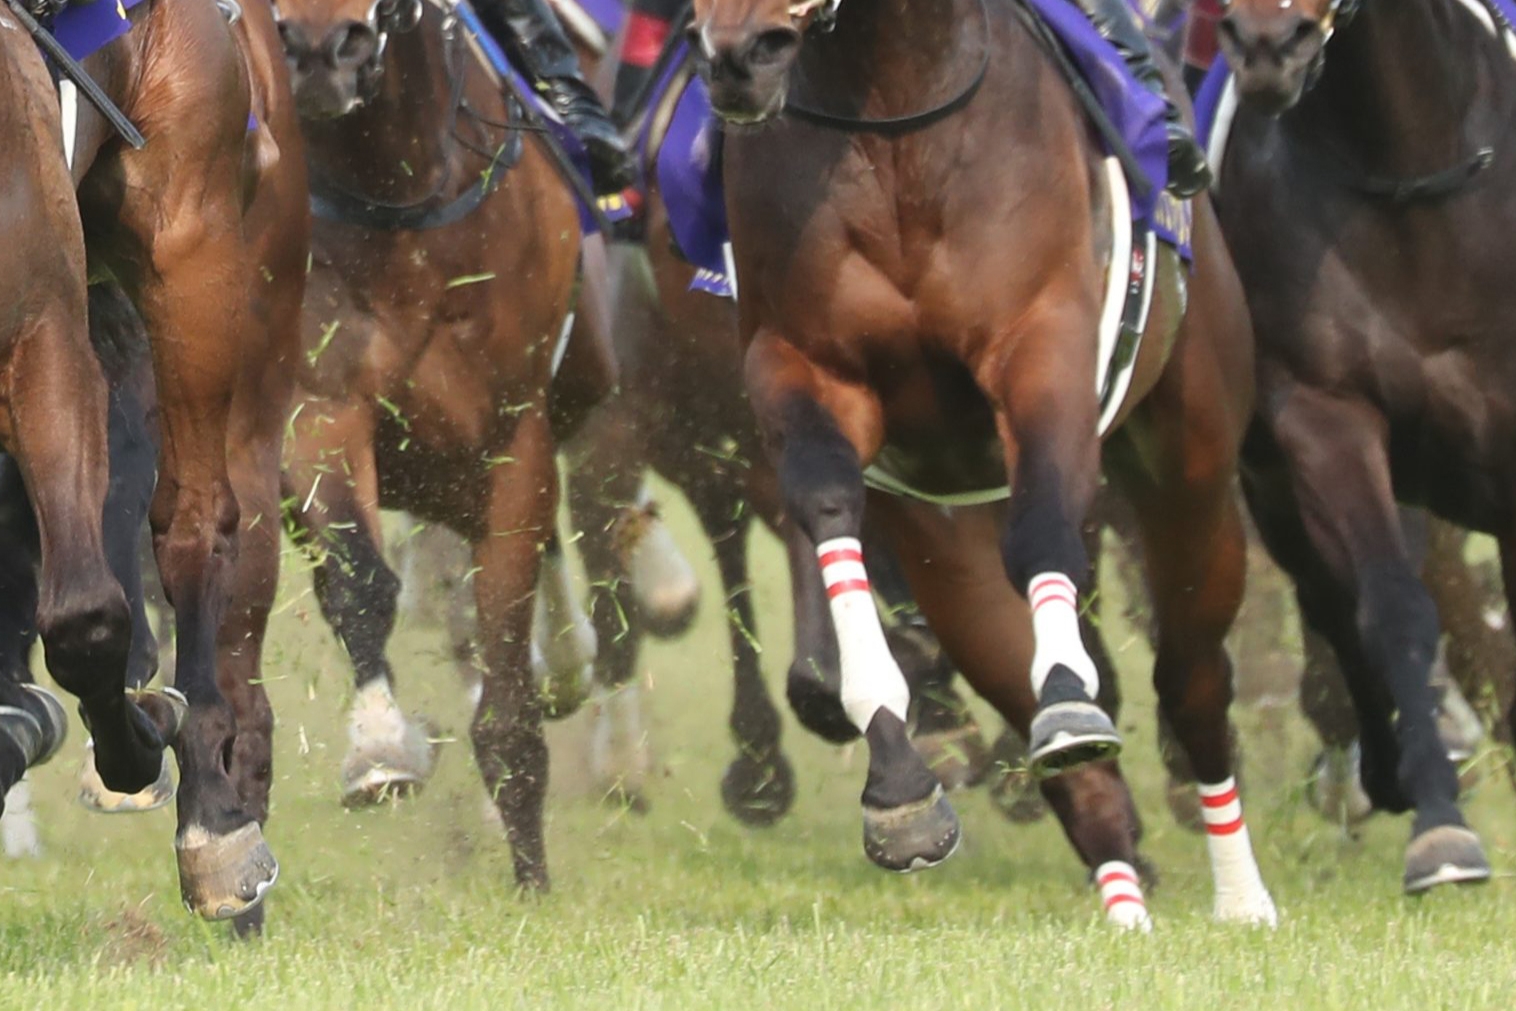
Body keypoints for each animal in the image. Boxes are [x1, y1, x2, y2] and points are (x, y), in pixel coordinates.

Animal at [0, 1, 310, 933]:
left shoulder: (42, 330)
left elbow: (86, 617)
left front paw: (145, 740)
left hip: (192, 245)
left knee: (192, 521)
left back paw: (213, 812)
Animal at [275, 0, 594, 891]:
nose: (321, 50)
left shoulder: (512, 435)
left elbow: (506, 634)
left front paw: (532, 879)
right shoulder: (316, 408)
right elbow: (357, 581)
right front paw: (380, 748)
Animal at [694, 0, 1273, 927]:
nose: (739, 55)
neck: (895, 124)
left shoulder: (1042, 345)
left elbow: (1043, 532)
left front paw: (1072, 701)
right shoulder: (803, 365)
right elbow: (828, 508)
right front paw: (899, 786)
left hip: (1193, 467)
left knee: (1191, 675)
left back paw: (1242, 892)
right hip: (947, 543)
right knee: (1070, 760)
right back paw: (1125, 905)